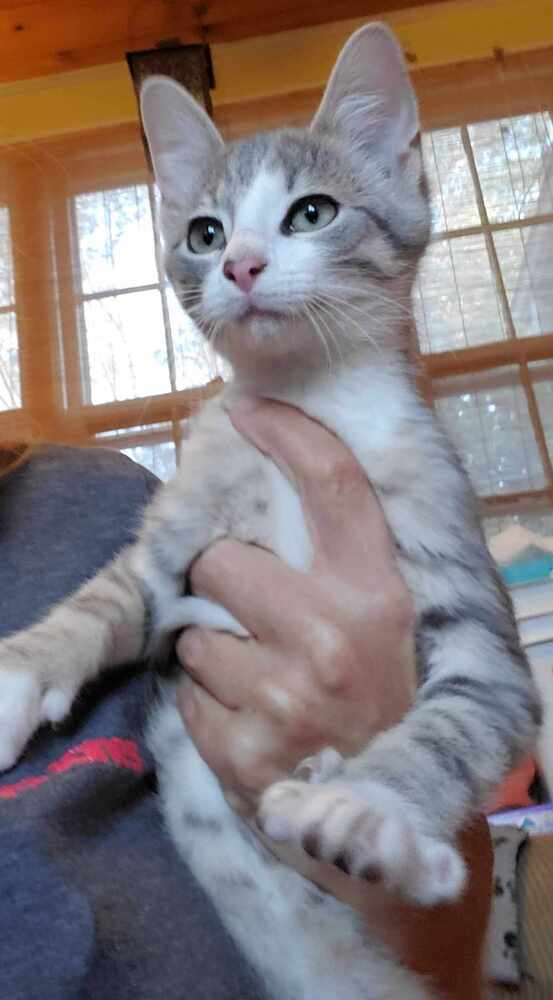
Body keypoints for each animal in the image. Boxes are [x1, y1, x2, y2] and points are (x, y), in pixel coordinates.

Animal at [0, 22, 541, 1000]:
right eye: (203, 232)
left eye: (312, 214)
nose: (241, 264)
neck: (308, 399)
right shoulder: (177, 540)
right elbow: (99, 602)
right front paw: (15, 675)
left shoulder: (474, 608)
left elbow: (460, 715)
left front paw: (366, 806)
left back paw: (395, 843)